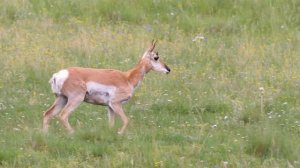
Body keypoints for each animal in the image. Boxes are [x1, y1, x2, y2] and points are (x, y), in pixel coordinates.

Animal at [42, 40, 170, 134]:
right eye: (156, 57)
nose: (168, 69)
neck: (127, 78)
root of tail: (59, 74)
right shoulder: (115, 103)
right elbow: (126, 120)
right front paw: (120, 133)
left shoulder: (110, 107)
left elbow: (111, 124)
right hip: (75, 99)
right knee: (63, 115)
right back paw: (73, 133)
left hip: (62, 98)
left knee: (48, 114)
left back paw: (46, 134)